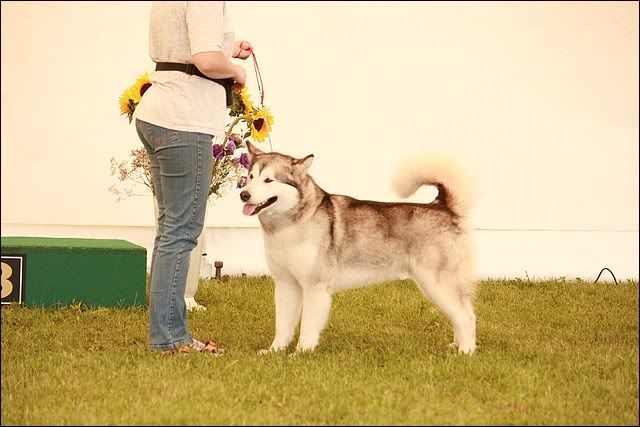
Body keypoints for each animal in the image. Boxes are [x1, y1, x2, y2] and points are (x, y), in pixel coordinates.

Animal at [240, 142, 476, 354]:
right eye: (250, 176)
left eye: (268, 179)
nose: (244, 194)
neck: (288, 227)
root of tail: (444, 207)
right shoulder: (286, 284)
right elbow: (282, 325)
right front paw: (275, 351)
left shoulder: (315, 287)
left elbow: (307, 327)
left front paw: (301, 353)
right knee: (461, 314)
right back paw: (456, 346)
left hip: (437, 283)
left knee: (466, 317)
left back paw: (466, 352)